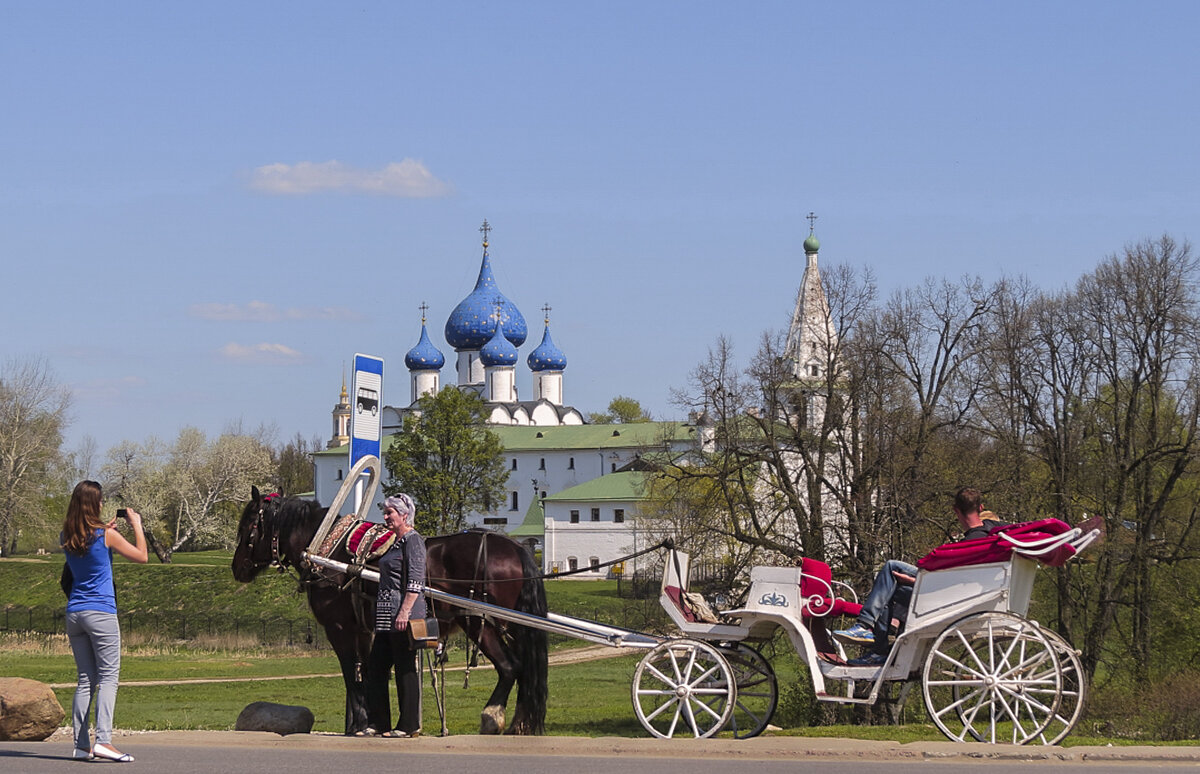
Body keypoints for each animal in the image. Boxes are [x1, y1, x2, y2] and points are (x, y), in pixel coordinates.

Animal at [229, 487, 549, 734]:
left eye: (246, 528)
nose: (236, 568)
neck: (329, 552)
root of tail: (514, 548)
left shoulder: (339, 629)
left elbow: (351, 673)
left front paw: (358, 724)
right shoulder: (364, 630)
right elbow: (367, 672)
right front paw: (367, 722)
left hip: (478, 620)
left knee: (510, 667)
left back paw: (493, 717)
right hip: (507, 624)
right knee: (523, 668)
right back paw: (518, 723)